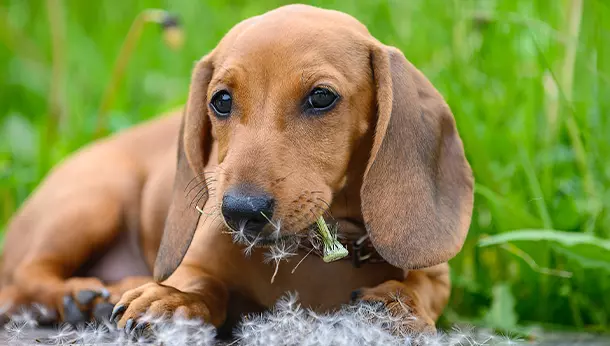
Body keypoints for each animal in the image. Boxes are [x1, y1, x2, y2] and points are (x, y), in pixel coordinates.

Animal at [0, 4, 472, 336]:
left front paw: (395, 304)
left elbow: (422, 290)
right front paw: (170, 299)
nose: (241, 212)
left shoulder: (437, 274)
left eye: (321, 97)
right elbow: (204, 285)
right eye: (221, 100)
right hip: (94, 200)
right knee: (25, 274)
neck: (310, 254)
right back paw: (79, 295)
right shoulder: (197, 262)